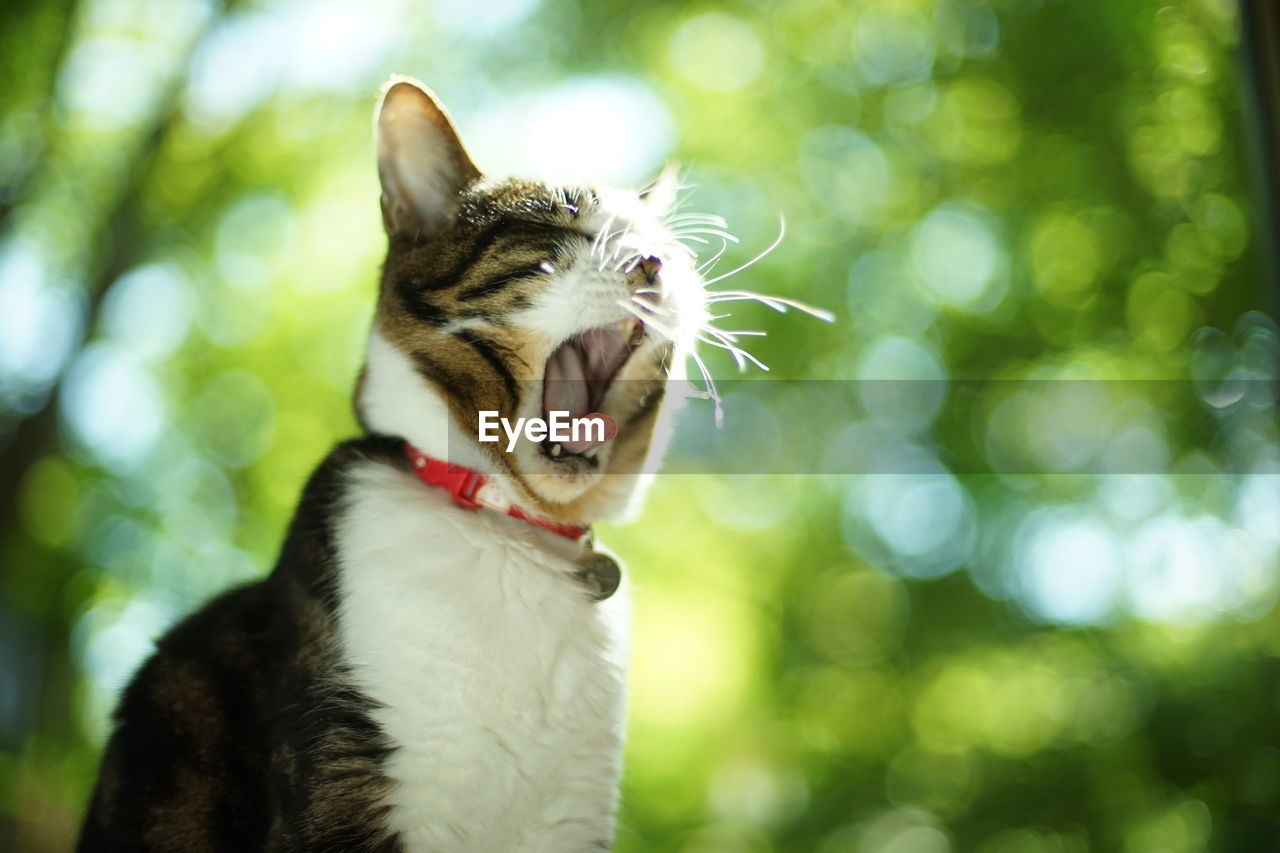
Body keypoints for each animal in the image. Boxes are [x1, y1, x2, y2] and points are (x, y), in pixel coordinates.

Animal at [77, 76, 711, 845]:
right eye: (565, 222)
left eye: (669, 249)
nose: (652, 264)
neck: (513, 527)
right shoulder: (346, 785)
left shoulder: (571, 818)